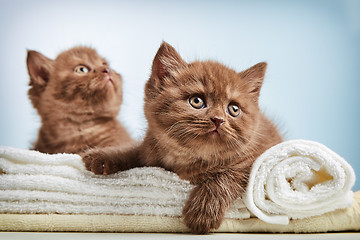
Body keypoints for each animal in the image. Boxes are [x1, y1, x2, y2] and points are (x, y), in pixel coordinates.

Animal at [81, 42, 282, 233]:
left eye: (233, 109)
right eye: (197, 101)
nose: (218, 120)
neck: (186, 157)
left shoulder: (259, 158)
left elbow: (229, 175)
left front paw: (203, 211)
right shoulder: (148, 150)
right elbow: (132, 151)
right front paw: (102, 156)